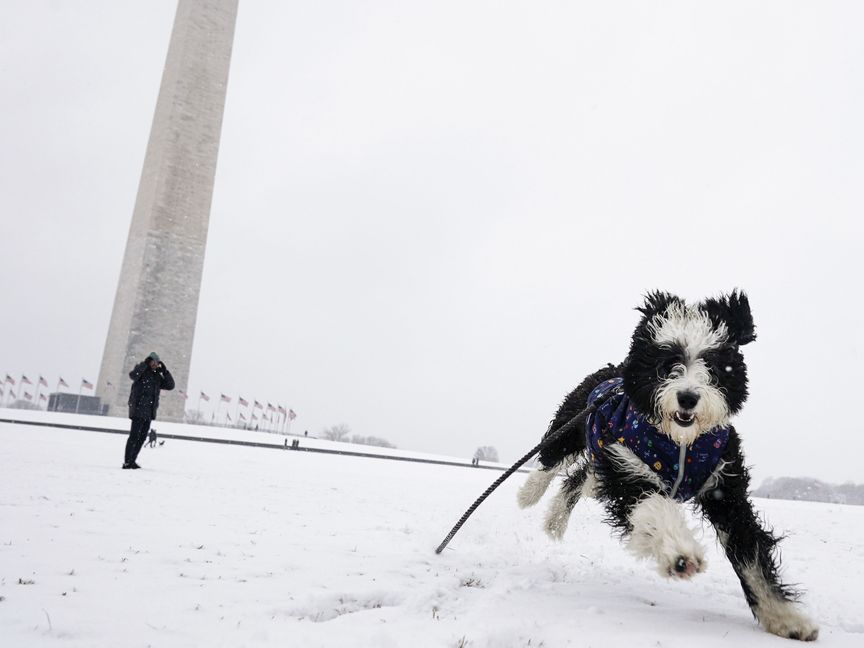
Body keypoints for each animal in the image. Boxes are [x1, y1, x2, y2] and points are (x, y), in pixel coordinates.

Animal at [516, 292, 820, 644]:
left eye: (713, 365)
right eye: (667, 365)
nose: (687, 397)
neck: (681, 444)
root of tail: (612, 370)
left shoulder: (725, 487)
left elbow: (749, 551)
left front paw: (785, 618)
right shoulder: (629, 468)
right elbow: (655, 507)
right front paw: (679, 554)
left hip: (600, 452)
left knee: (580, 477)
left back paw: (554, 522)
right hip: (573, 427)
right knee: (550, 458)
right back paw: (529, 494)